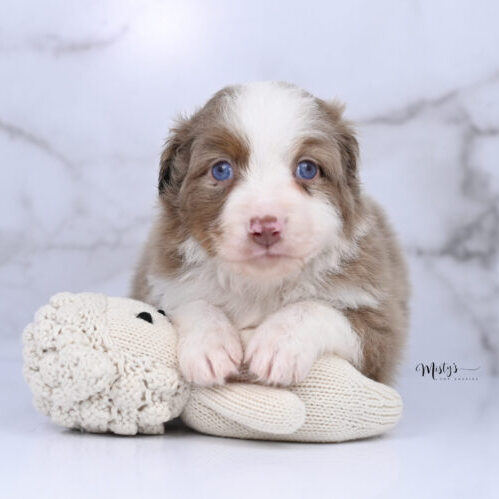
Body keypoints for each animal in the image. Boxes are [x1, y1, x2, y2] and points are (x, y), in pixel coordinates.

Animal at [133, 81, 410, 386]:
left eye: (307, 169)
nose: (266, 227)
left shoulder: (381, 328)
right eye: (221, 169)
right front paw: (209, 345)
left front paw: (278, 344)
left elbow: (316, 309)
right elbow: (187, 303)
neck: (261, 286)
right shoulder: (161, 285)